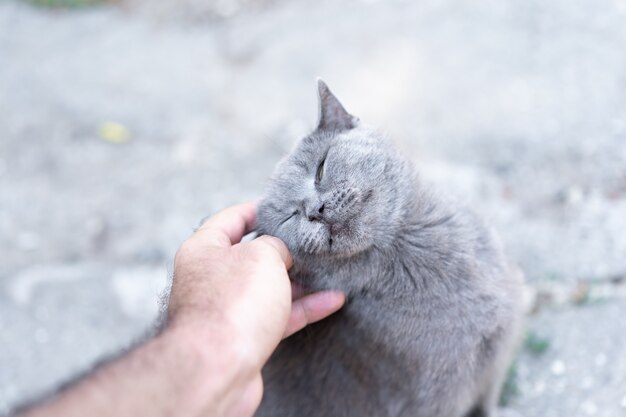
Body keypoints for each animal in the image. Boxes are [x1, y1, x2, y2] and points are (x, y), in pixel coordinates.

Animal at [254, 79, 520, 414]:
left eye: (320, 169)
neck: (406, 246)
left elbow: (489, 402)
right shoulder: (437, 399)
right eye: (290, 217)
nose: (315, 210)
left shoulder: (499, 355)